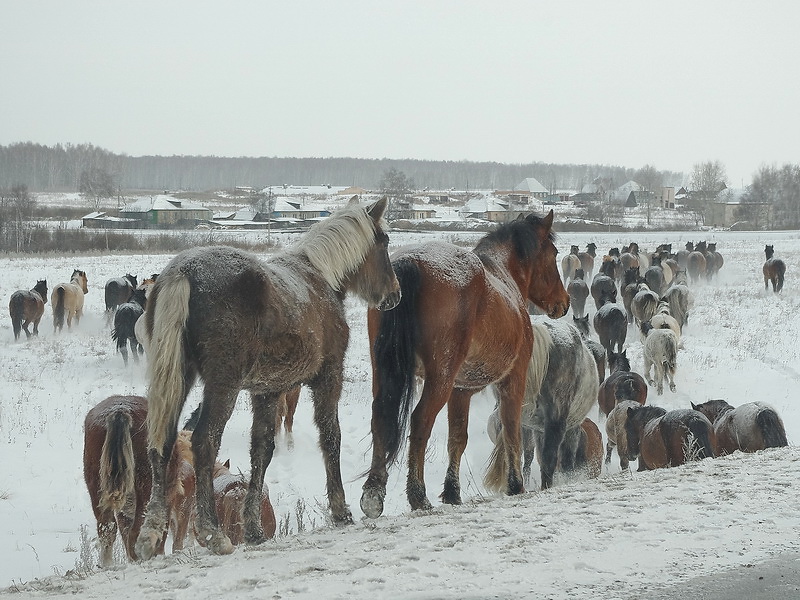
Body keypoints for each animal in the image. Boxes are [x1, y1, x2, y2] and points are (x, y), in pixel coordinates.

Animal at [83, 394, 197, 568]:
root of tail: (120, 411)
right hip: (145, 489)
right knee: (135, 532)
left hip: (96, 486)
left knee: (107, 529)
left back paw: (107, 565)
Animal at [135, 198, 406, 556]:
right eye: (384, 242)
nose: (395, 295)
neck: (321, 278)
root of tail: (184, 271)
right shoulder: (328, 377)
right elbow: (330, 436)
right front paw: (340, 509)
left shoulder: (267, 390)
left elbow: (261, 449)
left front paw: (253, 528)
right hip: (222, 385)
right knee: (204, 441)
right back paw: (212, 532)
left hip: (178, 378)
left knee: (162, 442)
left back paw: (150, 533)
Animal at [360, 209, 564, 516]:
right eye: (553, 253)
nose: (563, 302)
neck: (503, 276)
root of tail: (411, 261)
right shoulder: (513, 379)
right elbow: (511, 429)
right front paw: (515, 484)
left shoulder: (461, 389)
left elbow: (457, 438)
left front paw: (452, 491)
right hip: (439, 379)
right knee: (420, 421)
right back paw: (417, 495)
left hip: (384, 373)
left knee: (380, 417)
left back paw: (373, 494)